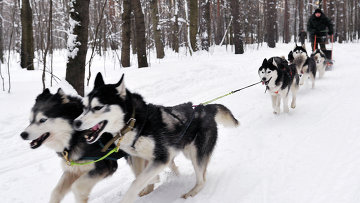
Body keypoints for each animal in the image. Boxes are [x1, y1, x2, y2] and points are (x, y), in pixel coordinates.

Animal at [73, 73, 239, 203]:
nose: (76, 123)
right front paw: (150, 184)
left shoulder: (161, 158)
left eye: (97, 107)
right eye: (84, 107)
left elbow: (136, 182)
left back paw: (191, 192)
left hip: (194, 153)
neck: (135, 123)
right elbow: (140, 176)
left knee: (202, 180)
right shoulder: (138, 157)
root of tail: (204, 108)